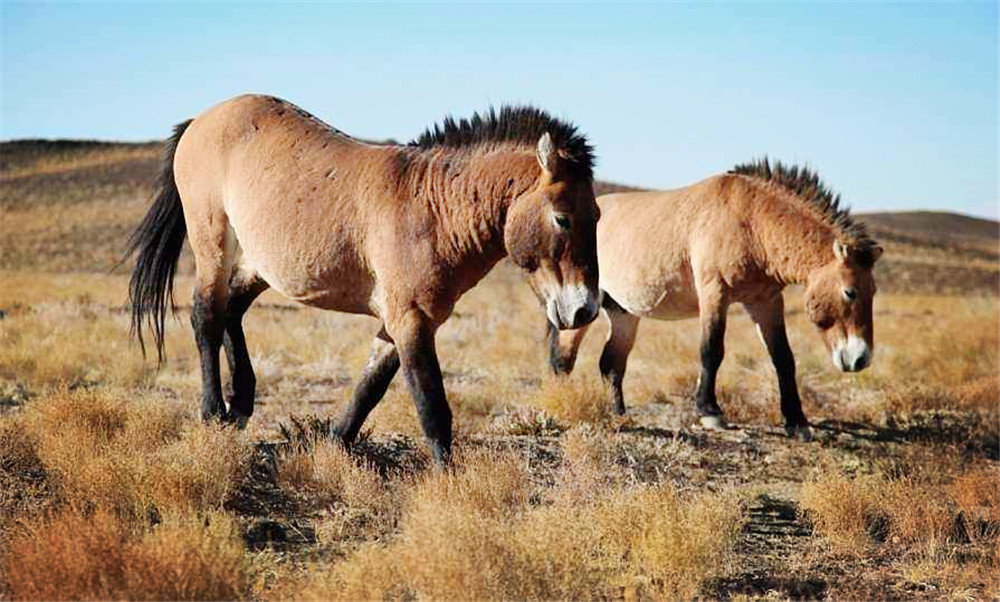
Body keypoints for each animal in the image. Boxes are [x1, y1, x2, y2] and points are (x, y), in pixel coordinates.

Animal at [123, 94, 600, 462]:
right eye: (562, 219)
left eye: (596, 216)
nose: (585, 310)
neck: (433, 207)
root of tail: (201, 119)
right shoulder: (410, 320)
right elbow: (432, 407)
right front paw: (448, 487)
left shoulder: (401, 321)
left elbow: (369, 388)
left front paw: (332, 447)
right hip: (212, 243)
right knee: (206, 315)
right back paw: (213, 413)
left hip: (258, 263)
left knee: (231, 309)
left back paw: (240, 403)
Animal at [548, 157, 884, 438]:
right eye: (850, 292)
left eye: (873, 291)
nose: (860, 358)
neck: (752, 221)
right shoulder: (715, 293)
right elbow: (711, 350)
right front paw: (710, 412)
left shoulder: (766, 302)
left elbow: (783, 358)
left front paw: (797, 422)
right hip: (584, 309)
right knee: (563, 358)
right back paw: (561, 403)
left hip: (623, 313)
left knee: (611, 363)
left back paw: (618, 413)